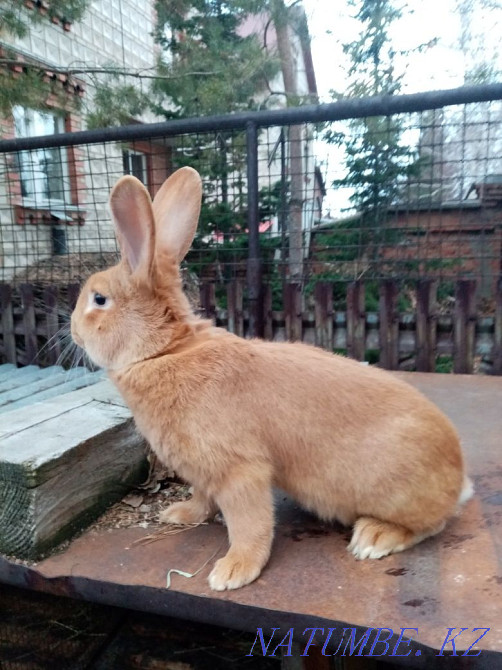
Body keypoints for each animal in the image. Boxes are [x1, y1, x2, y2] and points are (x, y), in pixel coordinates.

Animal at [71, 167, 472, 591]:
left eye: (99, 300)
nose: (73, 331)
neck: (165, 351)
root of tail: (457, 479)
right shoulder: (205, 473)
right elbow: (202, 499)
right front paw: (181, 514)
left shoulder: (240, 470)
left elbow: (249, 524)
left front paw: (233, 572)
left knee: (432, 524)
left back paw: (374, 537)